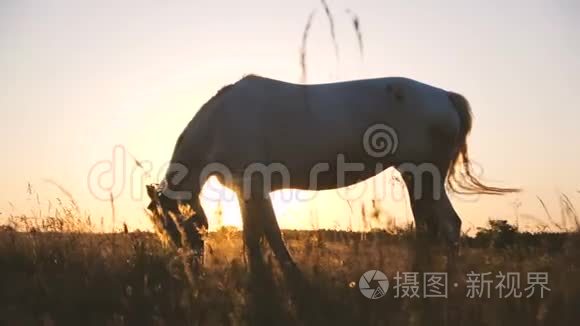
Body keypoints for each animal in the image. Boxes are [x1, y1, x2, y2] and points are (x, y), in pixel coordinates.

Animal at [145, 75, 516, 272]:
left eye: (175, 227)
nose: (189, 268)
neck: (221, 122)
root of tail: (447, 97)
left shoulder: (252, 186)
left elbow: (265, 236)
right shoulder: (250, 190)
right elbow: (260, 236)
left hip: (424, 175)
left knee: (448, 225)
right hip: (417, 177)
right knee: (430, 227)